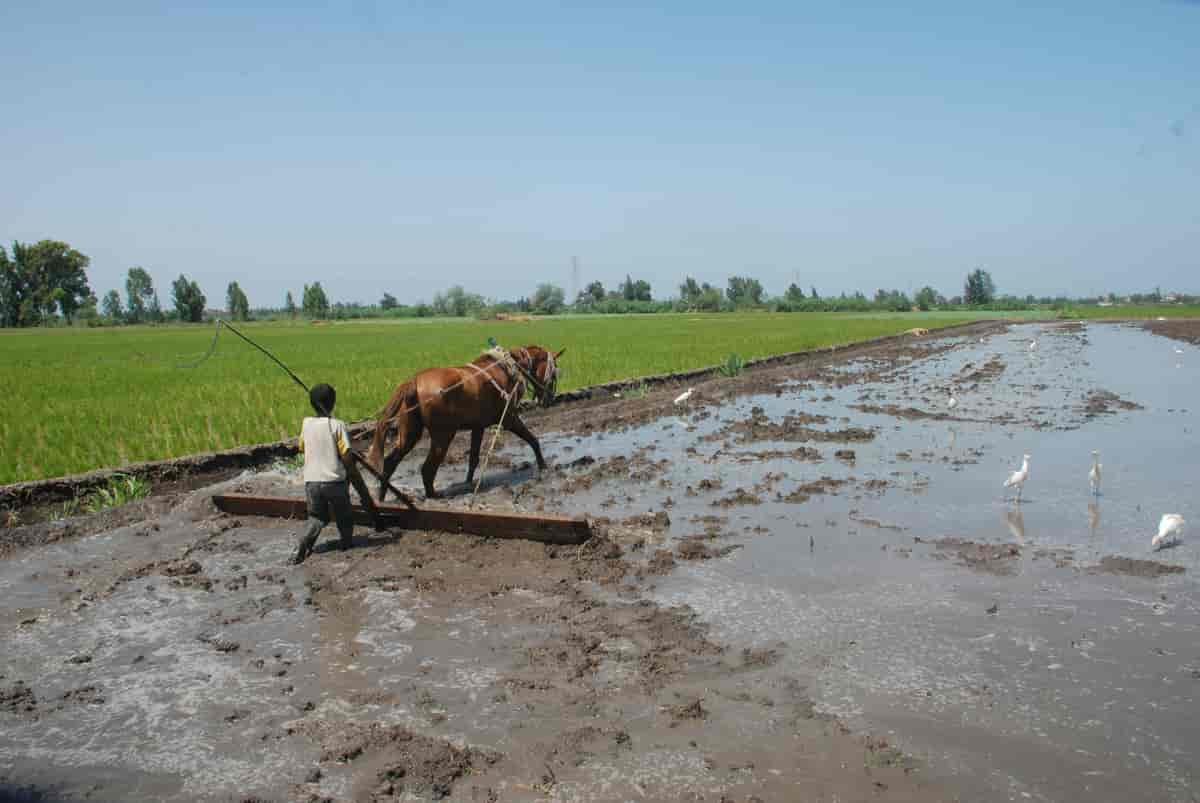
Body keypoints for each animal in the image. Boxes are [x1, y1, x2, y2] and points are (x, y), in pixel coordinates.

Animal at [362, 345, 564, 501]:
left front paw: (468, 482)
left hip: (410, 433)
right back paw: (433, 494)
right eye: (554, 373)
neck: (506, 369)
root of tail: (414, 381)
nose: (550, 399)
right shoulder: (509, 418)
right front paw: (543, 465)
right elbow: (532, 439)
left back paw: (382, 495)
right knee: (427, 468)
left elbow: (473, 457)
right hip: (443, 436)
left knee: (391, 461)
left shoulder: (478, 427)